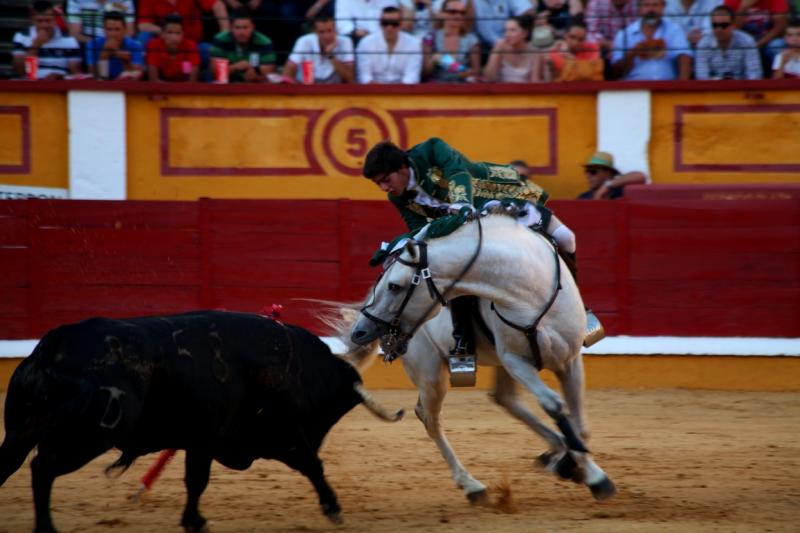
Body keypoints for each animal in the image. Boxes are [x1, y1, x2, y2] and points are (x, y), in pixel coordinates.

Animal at [0, 310, 404, 528]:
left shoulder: (205, 439)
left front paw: (193, 521)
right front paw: (333, 509)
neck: (300, 367)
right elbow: (312, 463)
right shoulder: (280, 433)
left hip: (21, 431)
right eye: (330, 412)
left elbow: (195, 481)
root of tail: (51, 348)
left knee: (12, 466)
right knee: (42, 468)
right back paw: (47, 528)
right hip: (87, 436)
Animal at [338, 209, 620, 502]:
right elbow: (554, 404)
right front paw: (590, 474)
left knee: (505, 399)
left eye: (394, 286)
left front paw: (581, 467)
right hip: (429, 371)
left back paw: (556, 453)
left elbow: (579, 422)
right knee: (430, 417)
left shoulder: (570, 360)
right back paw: (472, 484)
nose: (360, 331)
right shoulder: (515, 360)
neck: (528, 291)